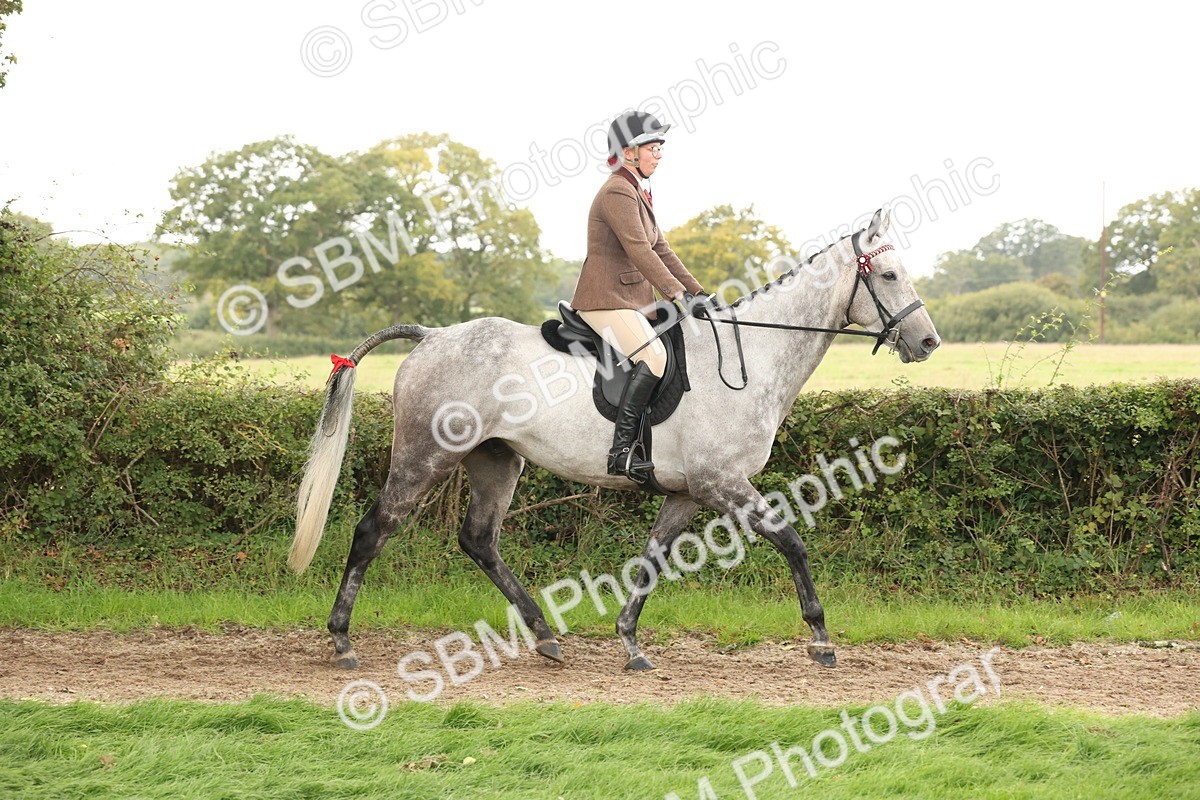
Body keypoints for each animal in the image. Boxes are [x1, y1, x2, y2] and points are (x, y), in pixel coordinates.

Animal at [288, 208, 940, 672]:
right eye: (887, 275)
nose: (928, 342)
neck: (752, 356)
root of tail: (432, 335)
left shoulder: (688, 492)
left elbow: (652, 560)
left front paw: (629, 643)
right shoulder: (722, 481)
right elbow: (792, 542)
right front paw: (821, 637)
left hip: (495, 461)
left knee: (479, 540)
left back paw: (545, 636)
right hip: (426, 457)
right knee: (374, 531)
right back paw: (343, 641)